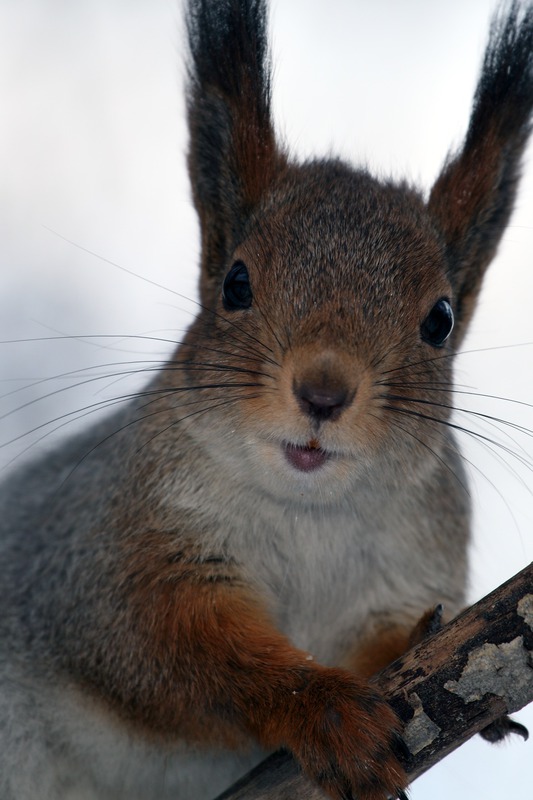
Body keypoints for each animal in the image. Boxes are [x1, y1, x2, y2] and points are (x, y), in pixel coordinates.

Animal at [1, 0, 532, 796]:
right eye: (236, 283)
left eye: (439, 320)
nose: (322, 392)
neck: (309, 516)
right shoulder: (106, 558)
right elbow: (189, 654)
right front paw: (323, 711)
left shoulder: (411, 572)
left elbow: (390, 638)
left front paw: (412, 645)